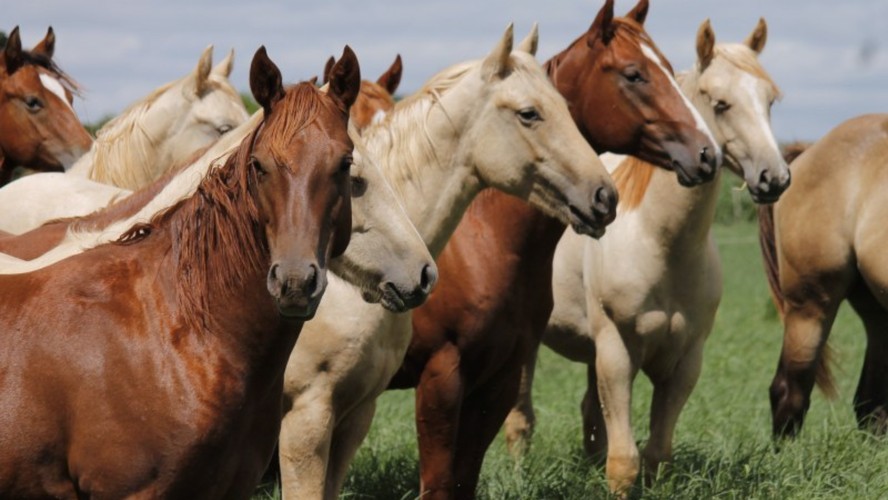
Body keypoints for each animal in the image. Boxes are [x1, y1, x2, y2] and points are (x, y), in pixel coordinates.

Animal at [508, 17, 789, 495]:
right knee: (520, 419)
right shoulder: (617, 353)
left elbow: (656, 454)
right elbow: (624, 461)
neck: (659, 244)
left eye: (770, 99)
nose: (775, 178)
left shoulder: (685, 360)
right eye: (721, 103)